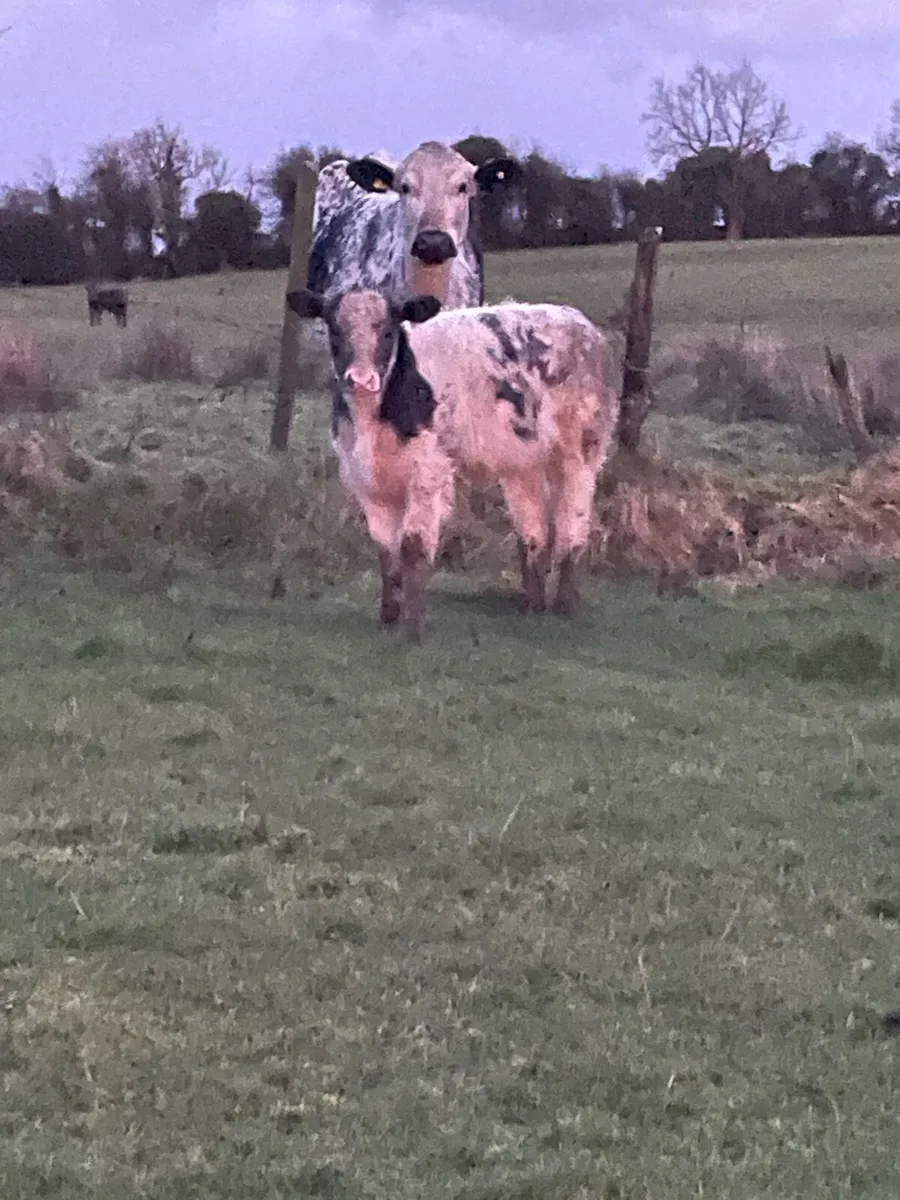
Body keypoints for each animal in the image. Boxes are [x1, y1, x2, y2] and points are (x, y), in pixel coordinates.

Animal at [286, 285, 620, 640]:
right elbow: (386, 551)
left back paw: (564, 606)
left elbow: (413, 547)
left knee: (574, 521)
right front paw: (388, 618)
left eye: (388, 331)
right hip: (521, 463)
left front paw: (412, 628)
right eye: (335, 330)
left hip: (581, 451)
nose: (361, 379)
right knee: (533, 531)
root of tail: (582, 324)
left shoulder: (428, 473)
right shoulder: (367, 483)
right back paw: (533, 607)